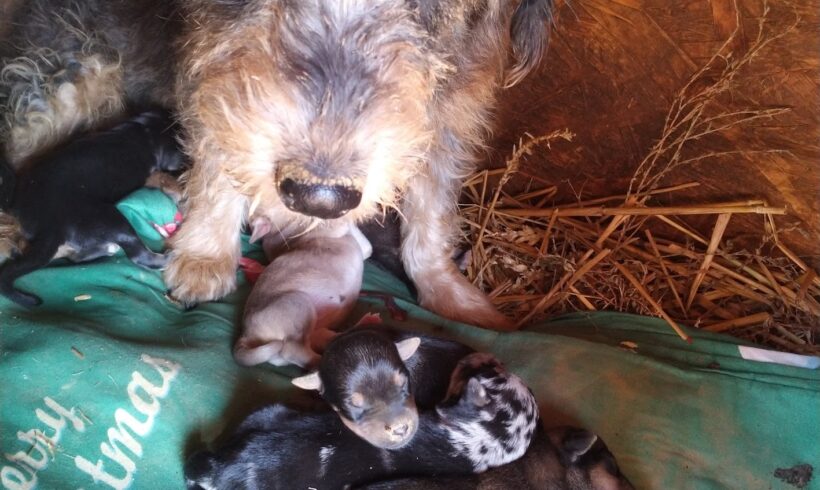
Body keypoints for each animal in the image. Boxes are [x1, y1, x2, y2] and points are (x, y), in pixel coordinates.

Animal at [0, 110, 184, 306]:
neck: (143, 132)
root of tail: (50, 225)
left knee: (73, 256)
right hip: (112, 219)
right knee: (140, 256)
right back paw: (170, 257)